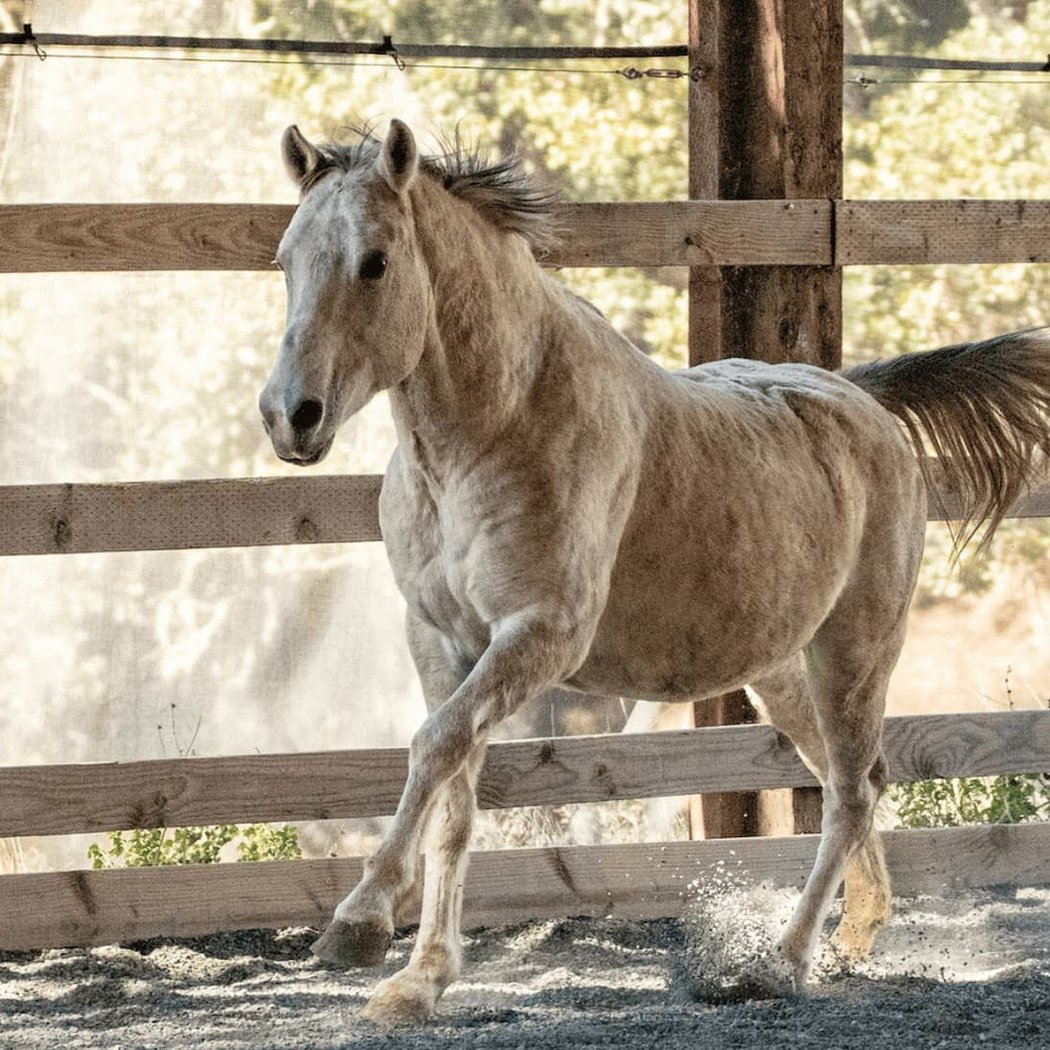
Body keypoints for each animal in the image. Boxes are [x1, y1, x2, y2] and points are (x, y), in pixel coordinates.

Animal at [259, 119, 1050, 1024]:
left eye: (376, 261)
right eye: (285, 260)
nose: (289, 416)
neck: (493, 430)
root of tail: (868, 404)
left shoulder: (540, 634)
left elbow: (433, 748)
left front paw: (357, 925)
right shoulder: (441, 639)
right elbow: (453, 797)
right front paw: (418, 982)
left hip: (854, 653)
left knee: (850, 794)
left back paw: (778, 961)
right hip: (782, 669)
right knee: (857, 780)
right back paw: (854, 938)